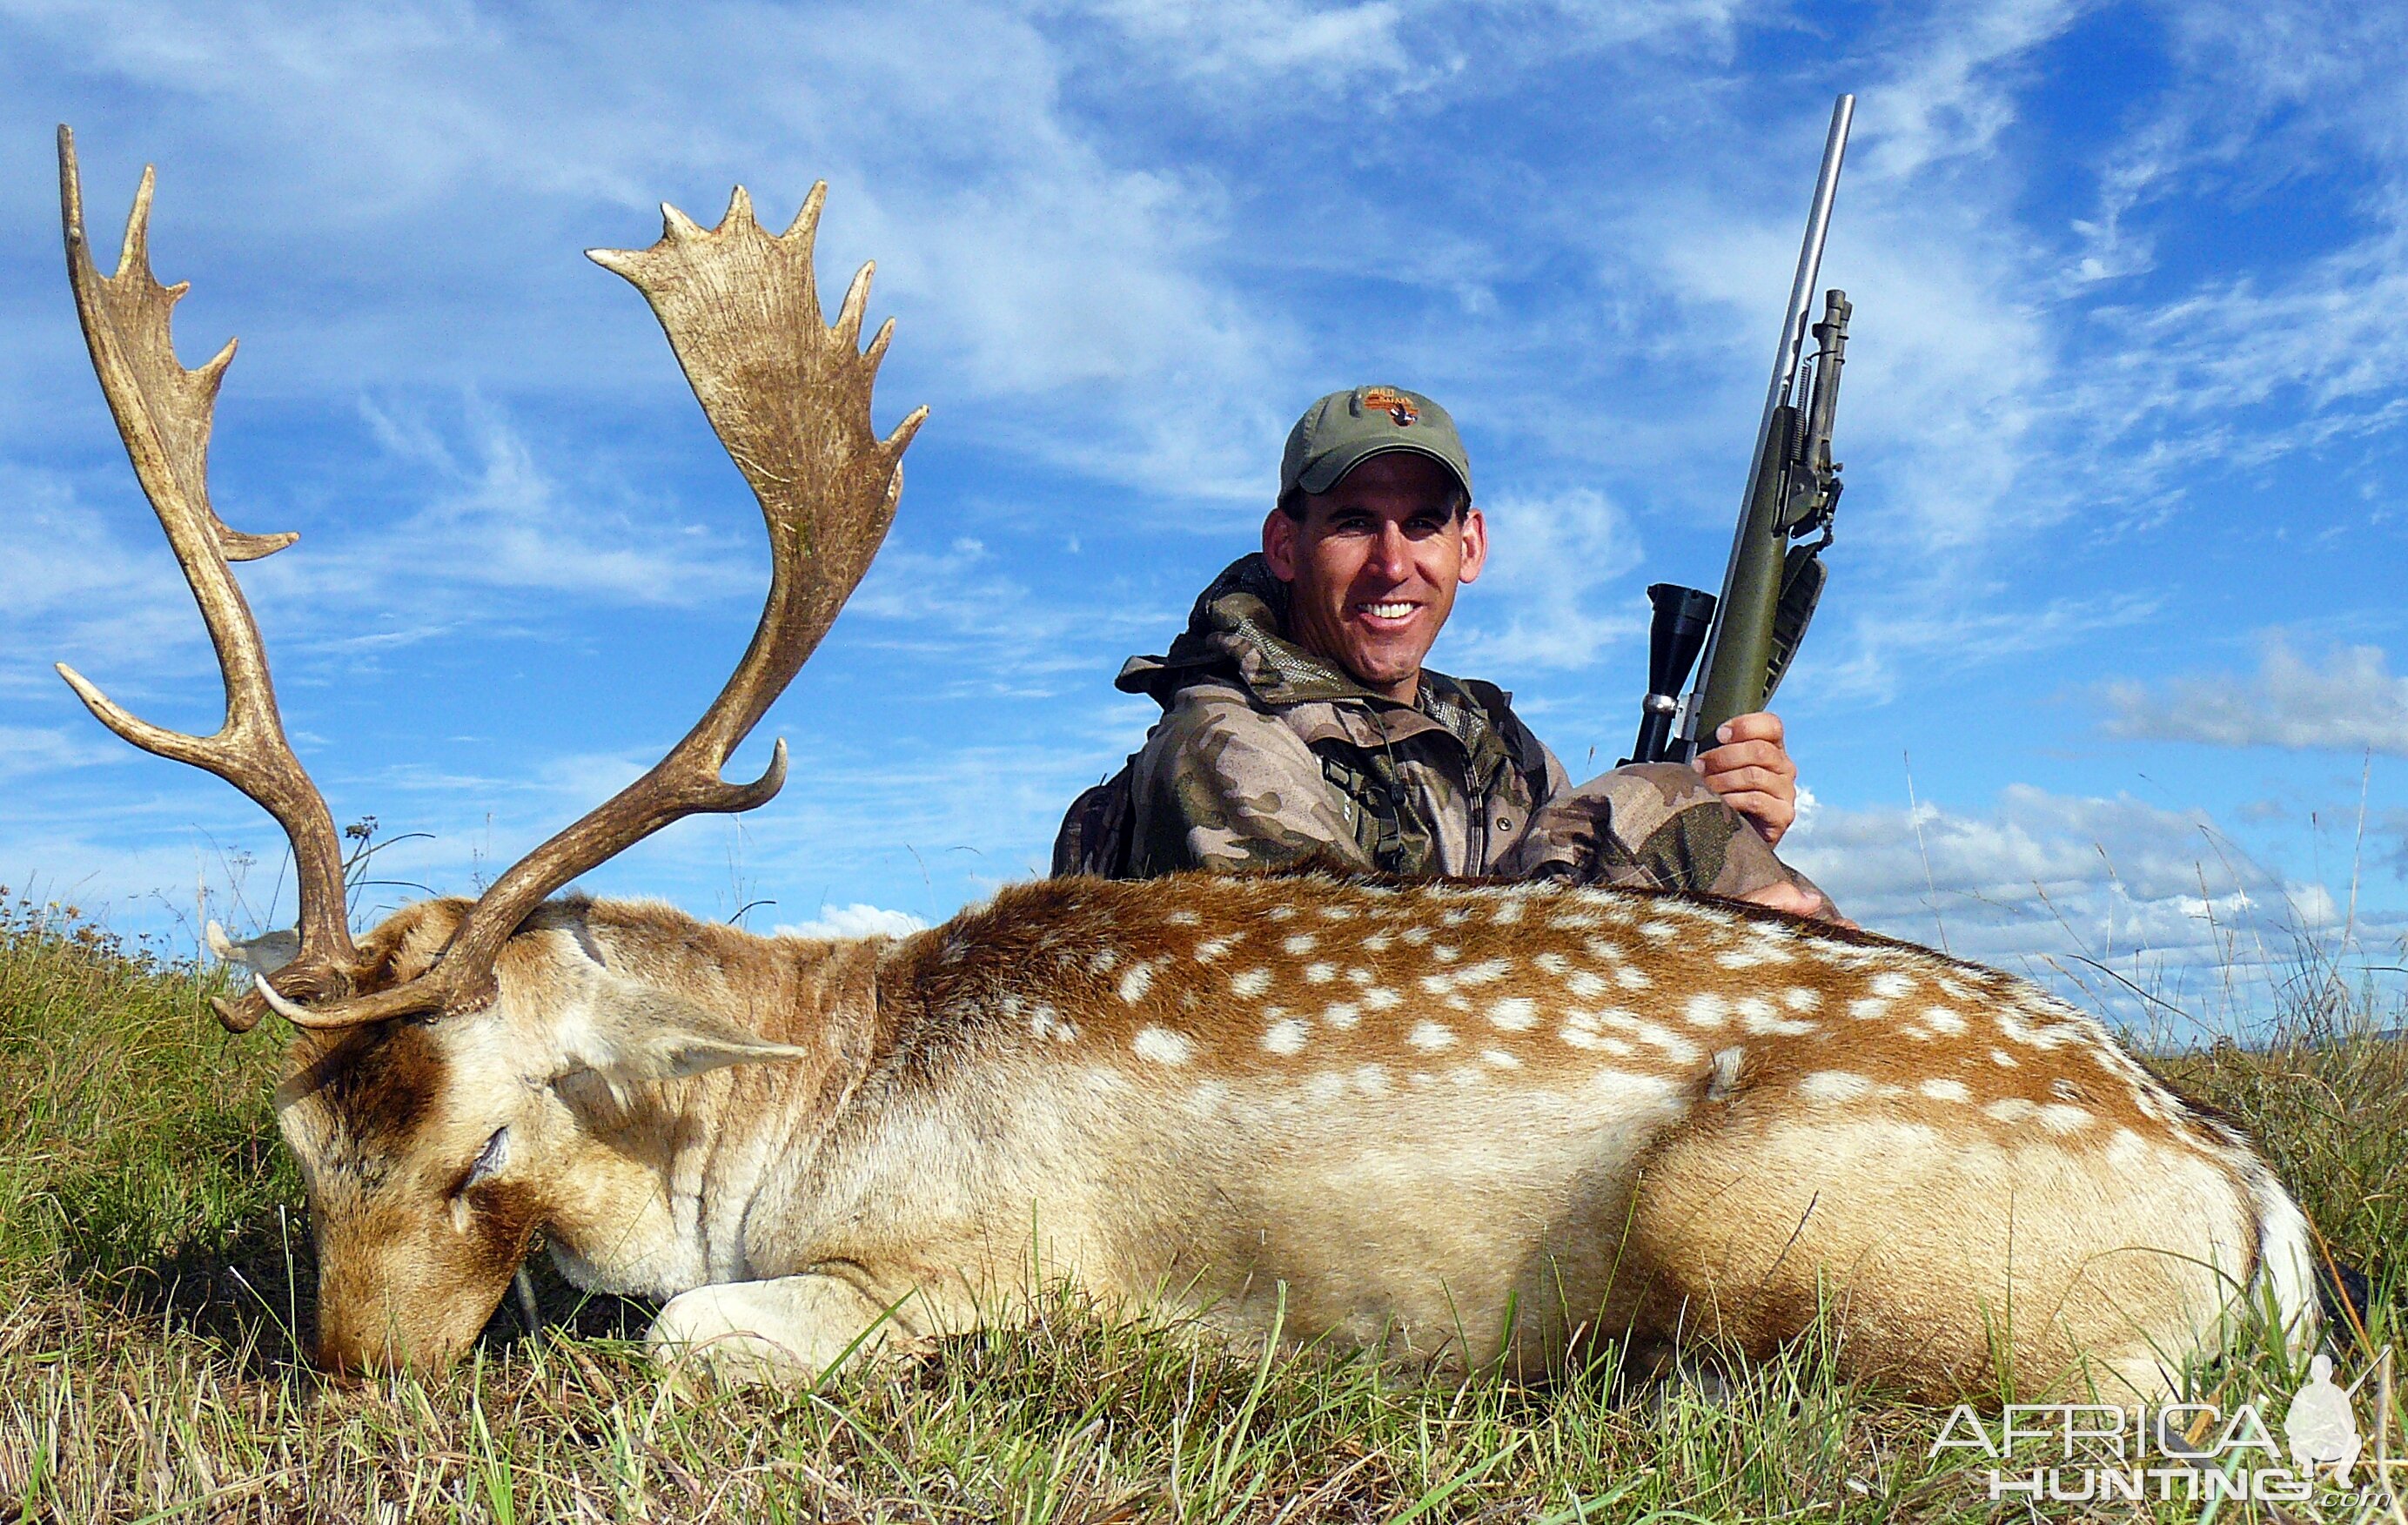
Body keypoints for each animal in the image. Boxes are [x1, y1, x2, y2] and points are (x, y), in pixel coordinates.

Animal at [51, 124, 2311, 1397]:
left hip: (1776, 1228)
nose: (360, 1380)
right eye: (299, 1146)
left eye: (483, 1146)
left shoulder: (976, 1247)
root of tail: (2254, 1197)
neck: (794, 1102)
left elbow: (697, 1337)